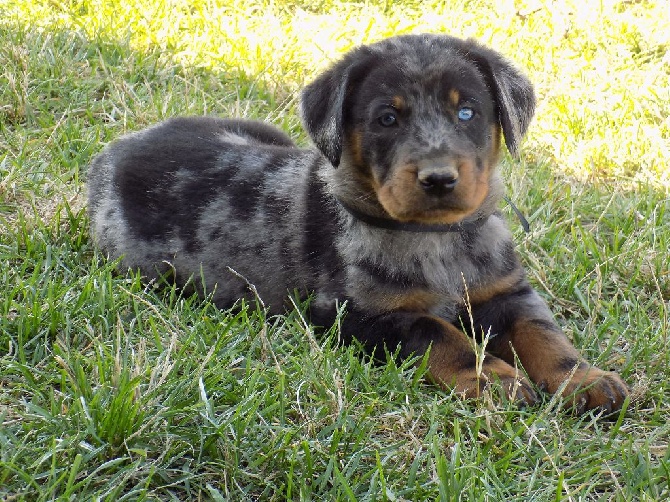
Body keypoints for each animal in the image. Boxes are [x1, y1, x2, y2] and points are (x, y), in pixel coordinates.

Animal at [88, 33, 632, 414]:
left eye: (467, 112)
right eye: (386, 119)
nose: (438, 178)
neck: (434, 240)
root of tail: (115, 150)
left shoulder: (508, 293)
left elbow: (545, 335)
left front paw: (585, 380)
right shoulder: (355, 314)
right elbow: (438, 332)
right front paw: (491, 377)